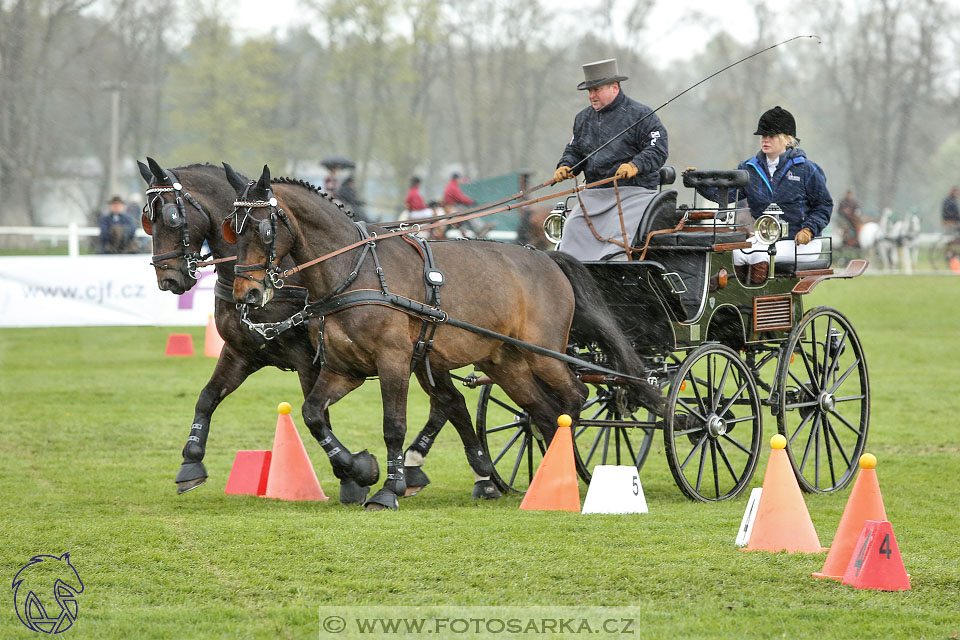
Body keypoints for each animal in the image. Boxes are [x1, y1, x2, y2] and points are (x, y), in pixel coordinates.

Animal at [135, 158, 488, 502]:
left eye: (171, 215)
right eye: (147, 220)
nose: (169, 279)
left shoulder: (309, 360)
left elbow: (318, 417)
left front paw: (354, 476)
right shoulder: (242, 353)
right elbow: (207, 397)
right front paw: (191, 462)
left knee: (448, 401)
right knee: (451, 402)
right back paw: (449, 470)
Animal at [225, 164, 664, 510]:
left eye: (264, 229)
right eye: (233, 230)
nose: (247, 294)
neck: (355, 271)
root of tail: (545, 255)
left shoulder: (394, 361)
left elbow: (394, 425)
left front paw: (390, 488)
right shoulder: (343, 369)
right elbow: (313, 414)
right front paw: (361, 469)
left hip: (545, 353)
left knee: (573, 399)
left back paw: (563, 470)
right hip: (505, 362)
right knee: (541, 410)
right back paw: (545, 475)